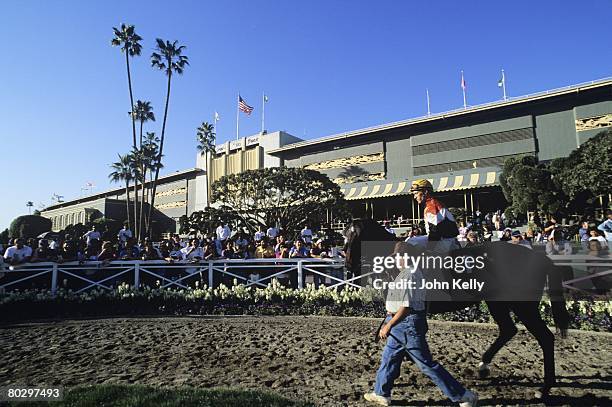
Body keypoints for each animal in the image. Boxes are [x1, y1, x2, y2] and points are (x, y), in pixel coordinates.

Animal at [346, 218, 572, 400]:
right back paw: (484, 367)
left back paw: (544, 388)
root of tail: (539, 258)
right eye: (344, 237)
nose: (349, 268)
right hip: (497, 302)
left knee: (544, 337)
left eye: (354, 236)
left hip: (523, 306)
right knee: (508, 330)